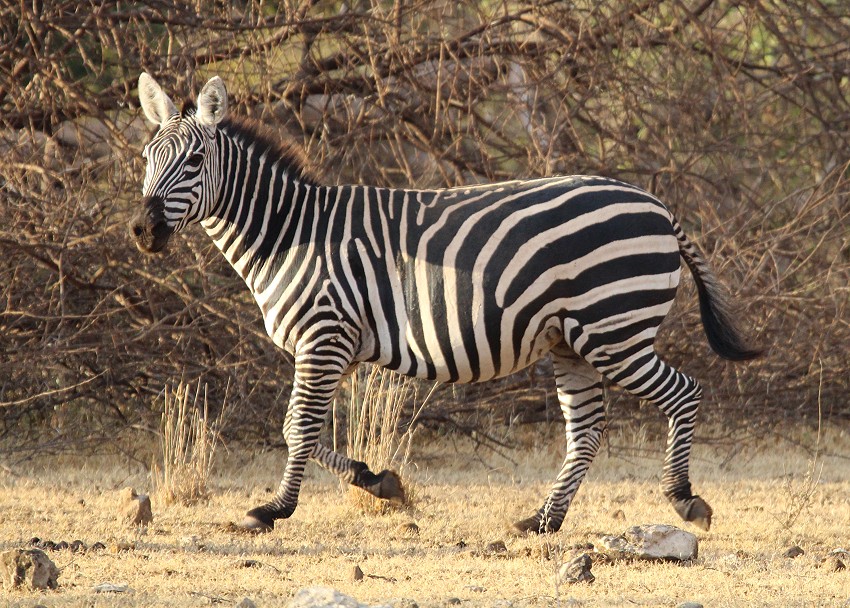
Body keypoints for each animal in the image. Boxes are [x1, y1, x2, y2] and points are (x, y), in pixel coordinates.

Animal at [131, 73, 756, 536]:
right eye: (146, 157)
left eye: (193, 162)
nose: (142, 231)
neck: (290, 233)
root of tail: (657, 204)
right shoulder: (337, 348)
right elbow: (302, 429)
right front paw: (377, 479)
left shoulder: (324, 336)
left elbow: (297, 425)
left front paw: (273, 510)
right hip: (572, 341)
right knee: (587, 429)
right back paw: (542, 520)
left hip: (613, 330)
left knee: (684, 393)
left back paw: (684, 501)